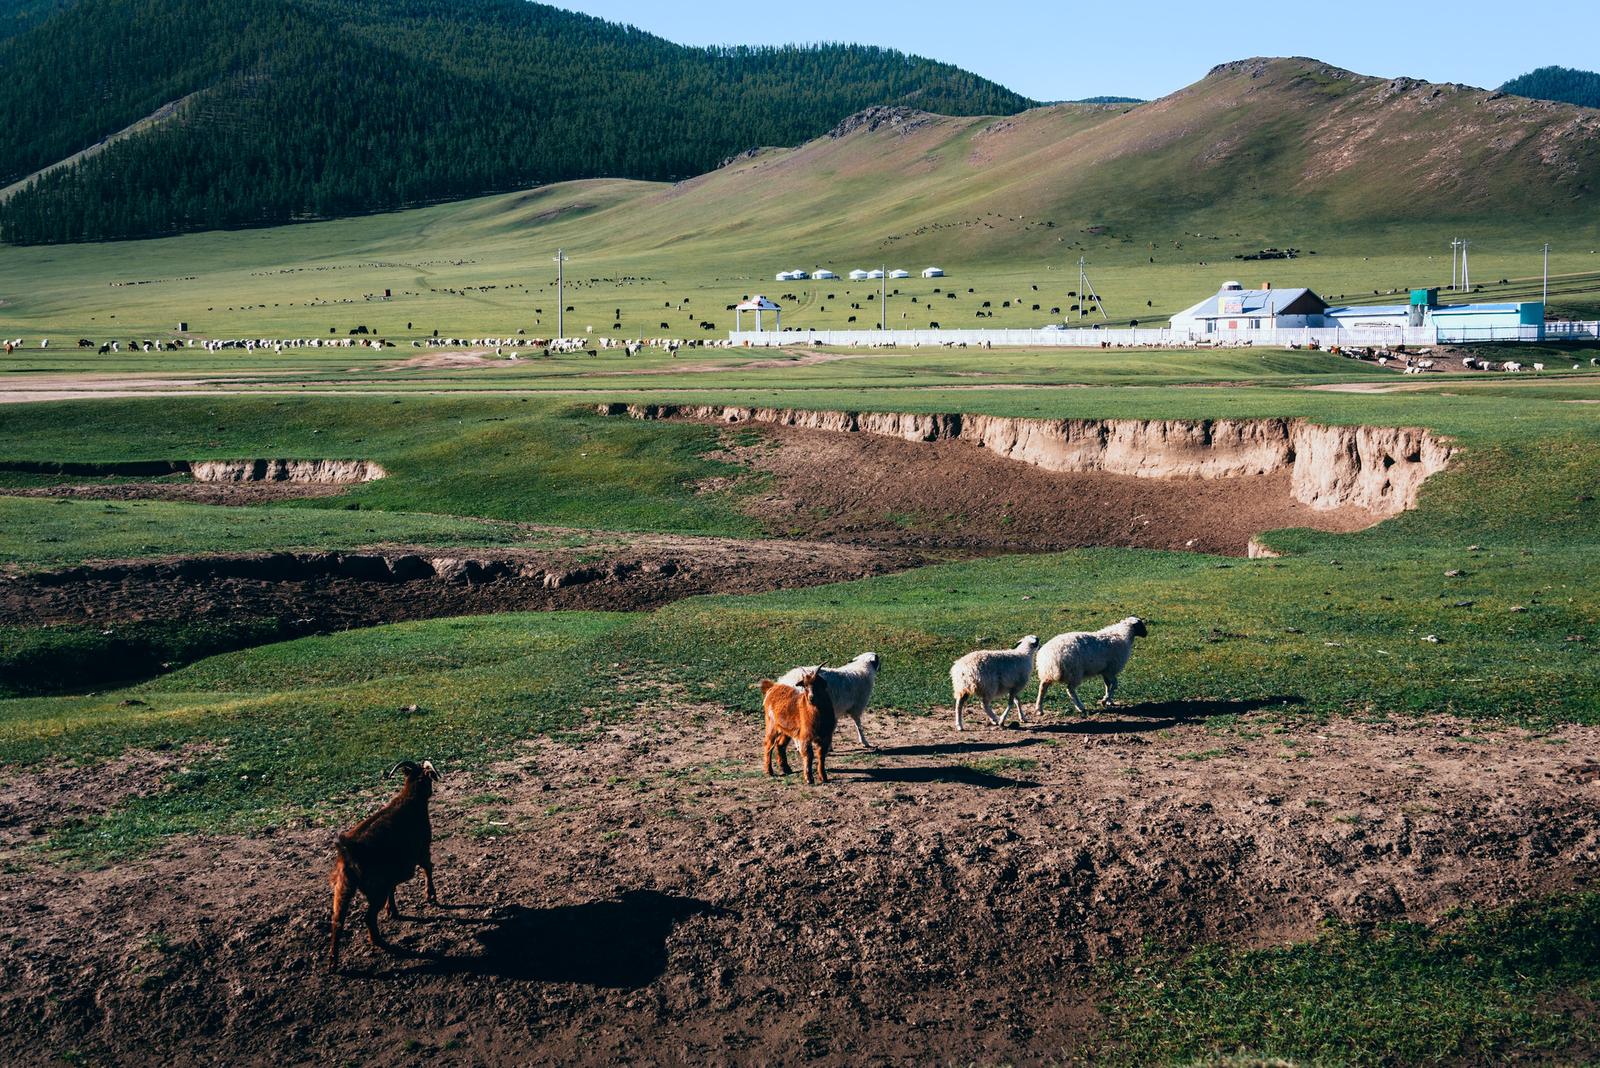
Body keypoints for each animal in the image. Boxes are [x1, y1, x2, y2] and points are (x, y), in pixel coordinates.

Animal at [326, 754, 441, 972]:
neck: (410, 798)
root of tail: (348, 850)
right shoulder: (421, 848)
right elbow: (428, 868)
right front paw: (431, 895)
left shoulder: (393, 870)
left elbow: (393, 887)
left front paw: (392, 910)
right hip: (374, 887)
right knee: (368, 917)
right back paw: (378, 941)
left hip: (343, 886)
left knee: (337, 921)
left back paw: (333, 962)